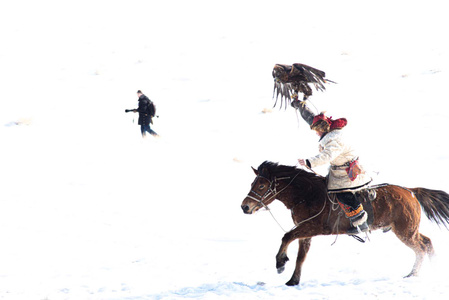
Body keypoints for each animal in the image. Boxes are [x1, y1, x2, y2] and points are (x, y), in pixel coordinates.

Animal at [240, 162, 448, 286]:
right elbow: (301, 256)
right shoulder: (306, 231)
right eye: (252, 184)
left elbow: (286, 236)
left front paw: (280, 263)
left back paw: (418, 273)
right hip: (408, 230)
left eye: (261, 185)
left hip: (405, 231)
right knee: (426, 243)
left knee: (422, 246)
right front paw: (293, 280)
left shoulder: (312, 228)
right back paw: (420, 272)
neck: (307, 195)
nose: (245, 206)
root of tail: (410, 191)